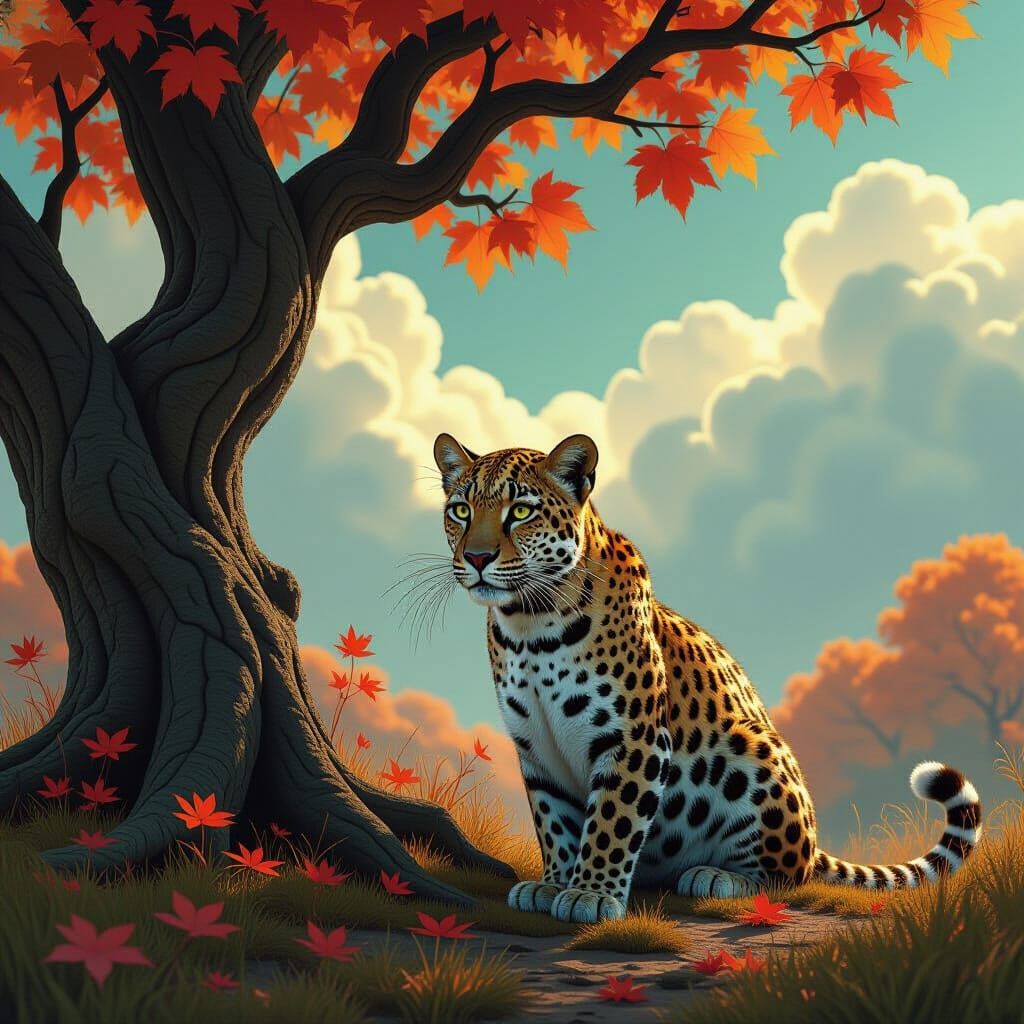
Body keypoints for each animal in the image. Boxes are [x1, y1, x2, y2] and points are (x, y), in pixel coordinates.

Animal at [432, 432, 983, 924]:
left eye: (520, 511)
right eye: (460, 511)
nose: (476, 558)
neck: (530, 625)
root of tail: (814, 842)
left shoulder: (632, 739)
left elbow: (610, 821)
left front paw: (590, 894)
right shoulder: (536, 747)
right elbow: (554, 823)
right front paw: (553, 884)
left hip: (756, 754)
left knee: (789, 874)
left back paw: (716, 877)